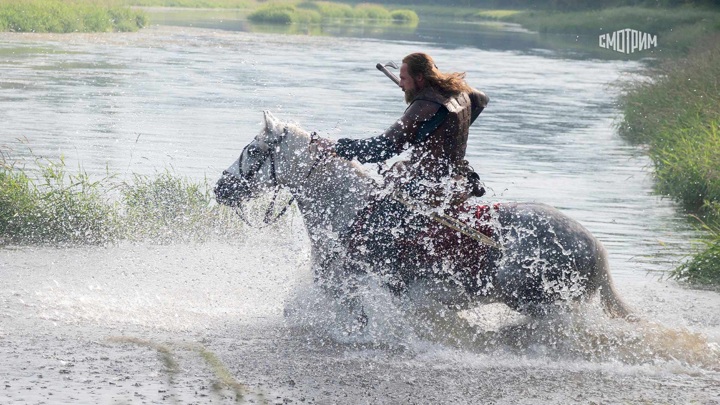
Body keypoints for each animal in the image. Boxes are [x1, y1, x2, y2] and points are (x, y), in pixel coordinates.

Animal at [214, 110, 632, 318]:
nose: (221, 187)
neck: (348, 207)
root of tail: (595, 247)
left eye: (253, 150)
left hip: (542, 305)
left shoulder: (353, 287)